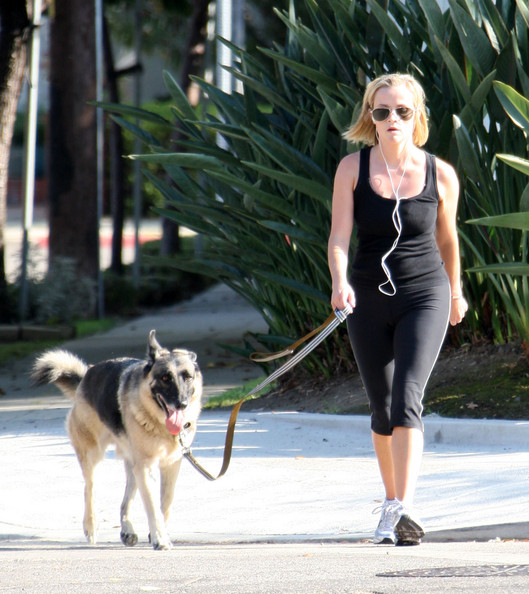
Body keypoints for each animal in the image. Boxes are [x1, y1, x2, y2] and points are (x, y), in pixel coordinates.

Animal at [32, 328, 202, 544]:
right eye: (165, 378)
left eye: (188, 377)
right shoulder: (146, 467)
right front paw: (160, 539)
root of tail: (87, 375)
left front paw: (159, 533)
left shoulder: (171, 465)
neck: (159, 424)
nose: (181, 404)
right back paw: (90, 526)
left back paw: (127, 530)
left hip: (132, 467)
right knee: (89, 489)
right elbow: (153, 507)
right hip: (93, 455)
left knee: (124, 502)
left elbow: (166, 503)